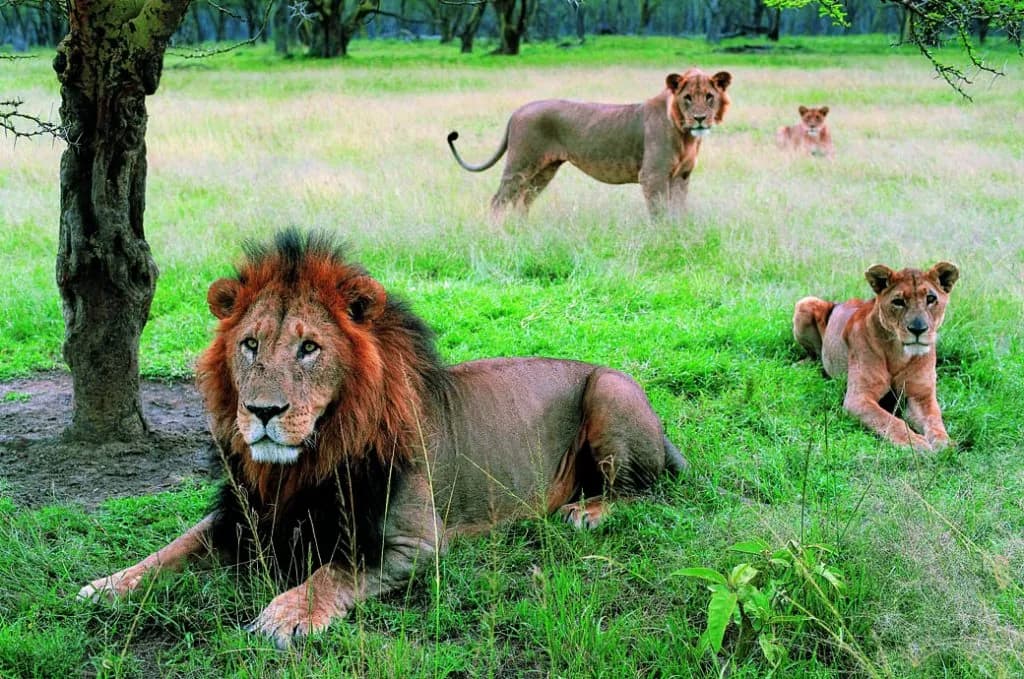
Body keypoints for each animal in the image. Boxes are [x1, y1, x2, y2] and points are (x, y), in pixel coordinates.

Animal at [78, 230, 686, 648]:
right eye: (250, 345)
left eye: (309, 348)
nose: (262, 411)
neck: (301, 463)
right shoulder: (245, 516)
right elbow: (176, 546)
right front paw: (110, 584)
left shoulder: (415, 545)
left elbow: (337, 569)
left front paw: (284, 615)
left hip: (610, 390)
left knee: (643, 489)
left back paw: (589, 510)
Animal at [447, 68, 732, 219]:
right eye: (687, 97)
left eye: (709, 96)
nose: (699, 118)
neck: (686, 135)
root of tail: (518, 110)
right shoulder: (653, 175)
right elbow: (659, 213)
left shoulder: (682, 176)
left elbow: (679, 212)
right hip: (520, 163)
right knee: (499, 200)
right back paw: (498, 235)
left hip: (544, 171)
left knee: (522, 202)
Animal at [793, 262, 959, 450]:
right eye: (898, 302)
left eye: (931, 299)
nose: (918, 329)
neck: (898, 353)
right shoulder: (858, 399)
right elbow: (890, 421)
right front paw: (917, 444)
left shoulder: (921, 396)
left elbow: (934, 420)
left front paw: (944, 444)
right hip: (805, 303)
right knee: (814, 356)